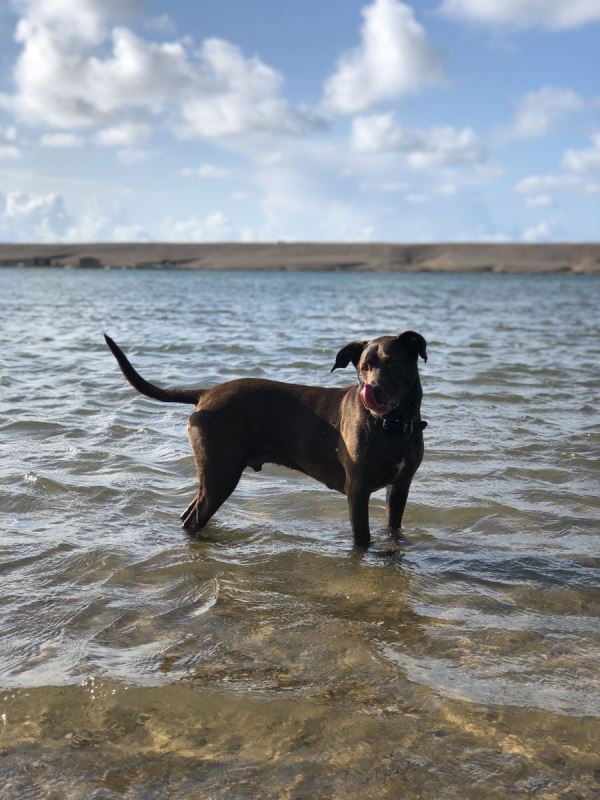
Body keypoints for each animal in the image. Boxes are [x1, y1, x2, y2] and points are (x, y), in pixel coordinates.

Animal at [105, 328, 428, 548]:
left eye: (393, 362)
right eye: (363, 367)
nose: (372, 391)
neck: (393, 425)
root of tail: (206, 393)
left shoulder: (400, 486)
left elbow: (394, 527)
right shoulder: (357, 490)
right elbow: (362, 540)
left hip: (214, 475)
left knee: (189, 515)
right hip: (220, 474)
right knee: (195, 518)